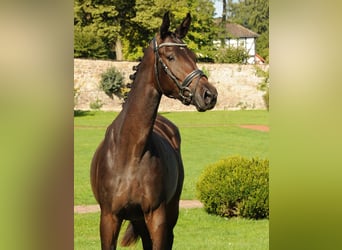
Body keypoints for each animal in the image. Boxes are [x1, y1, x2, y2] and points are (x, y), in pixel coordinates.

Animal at [90, 12, 216, 250]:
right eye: (170, 56)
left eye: (193, 56)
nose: (209, 94)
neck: (130, 152)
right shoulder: (109, 218)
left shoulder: (157, 216)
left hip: (169, 211)